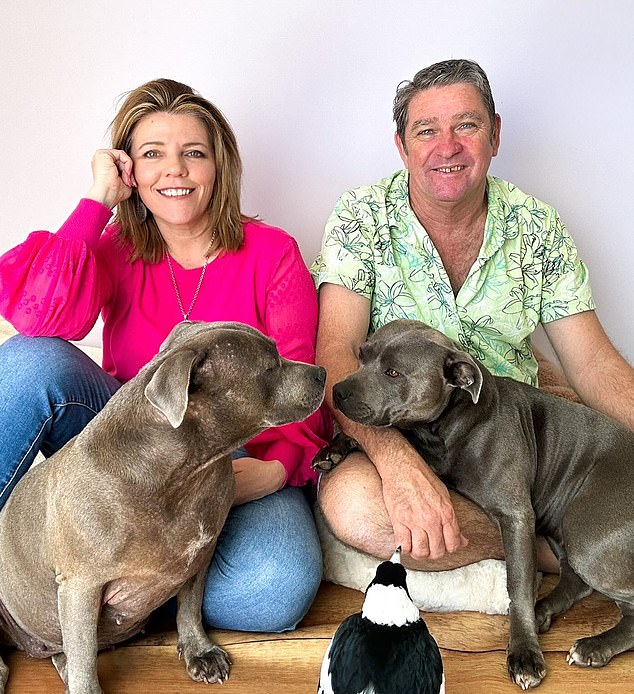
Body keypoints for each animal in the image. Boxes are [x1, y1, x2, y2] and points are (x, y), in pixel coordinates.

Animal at [0, 324, 324, 692]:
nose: (322, 373)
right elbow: (84, 655)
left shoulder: (199, 554)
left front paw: (199, 652)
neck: (182, 474)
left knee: (61, 653)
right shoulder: (81, 585)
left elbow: (190, 607)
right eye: (270, 367)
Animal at [314, 320, 632, 692]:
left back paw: (594, 646)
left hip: (588, 538)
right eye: (362, 355)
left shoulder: (516, 516)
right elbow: (390, 434)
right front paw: (334, 447)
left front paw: (524, 653)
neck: (450, 421)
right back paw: (544, 611)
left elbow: (517, 586)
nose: (337, 391)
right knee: (575, 581)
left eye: (393, 372)